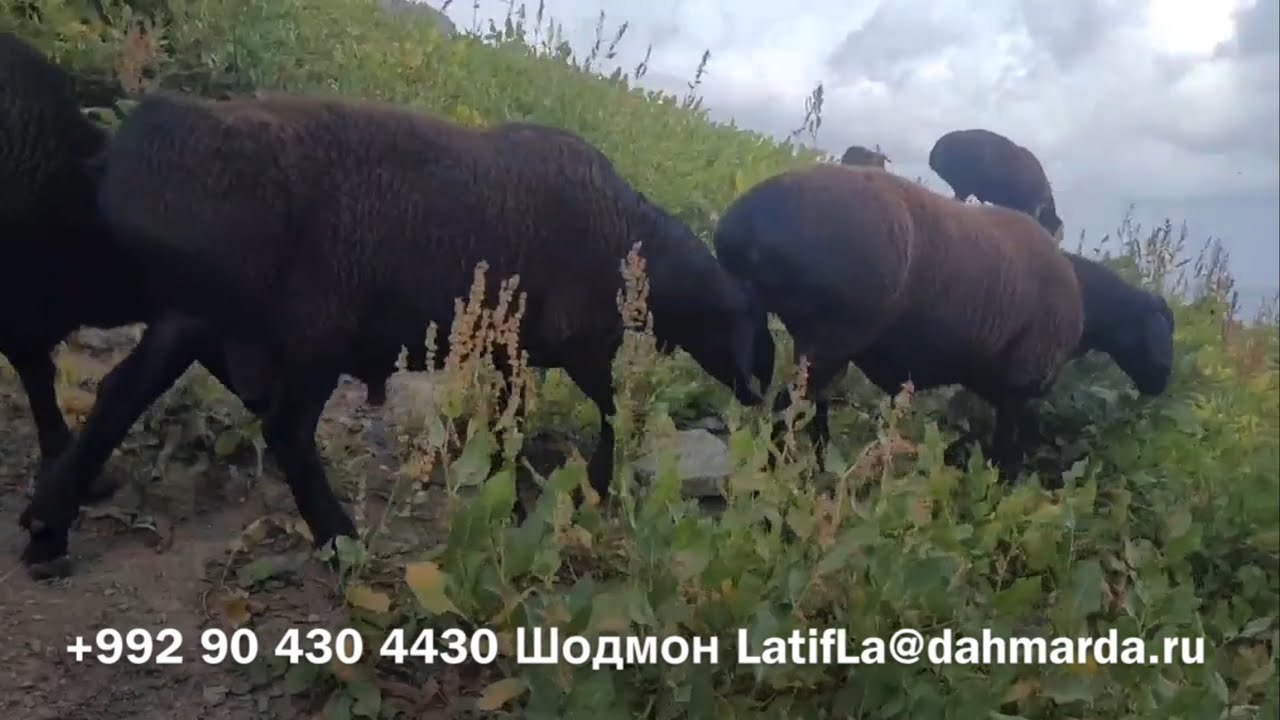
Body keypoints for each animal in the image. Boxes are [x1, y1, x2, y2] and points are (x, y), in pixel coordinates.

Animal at [20, 89, 773, 576]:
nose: (762, 399)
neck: (637, 248)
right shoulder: (579, 346)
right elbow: (613, 410)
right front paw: (592, 485)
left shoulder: (509, 347)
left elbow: (513, 418)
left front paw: (507, 490)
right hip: (315, 334)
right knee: (285, 431)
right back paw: (338, 540)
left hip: (192, 319)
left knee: (119, 397)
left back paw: (46, 530)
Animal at [713, 163, 1161, 478]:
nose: (1160, 385)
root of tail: (742, 224)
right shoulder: (1019, 387)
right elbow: (1006, 455)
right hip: (831, 338)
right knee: (789, 409)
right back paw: (777, 473)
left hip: (824, 346)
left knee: (810, 408)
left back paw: (819, 466)